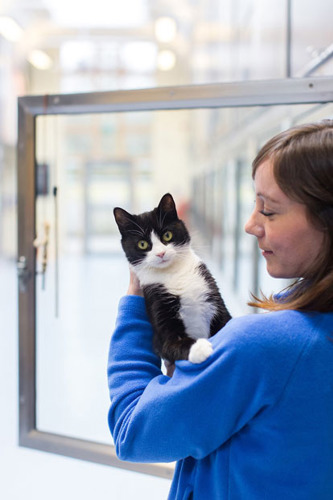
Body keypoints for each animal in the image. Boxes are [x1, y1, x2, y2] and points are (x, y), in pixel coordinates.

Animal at [113, 194, 230, 364]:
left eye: (167, 235)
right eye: (142, 244)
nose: (161, 253)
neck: (173, 274)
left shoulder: (212, 295)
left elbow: (226, 322)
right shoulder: (158, 309)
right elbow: (173, 343)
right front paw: (199, 348)